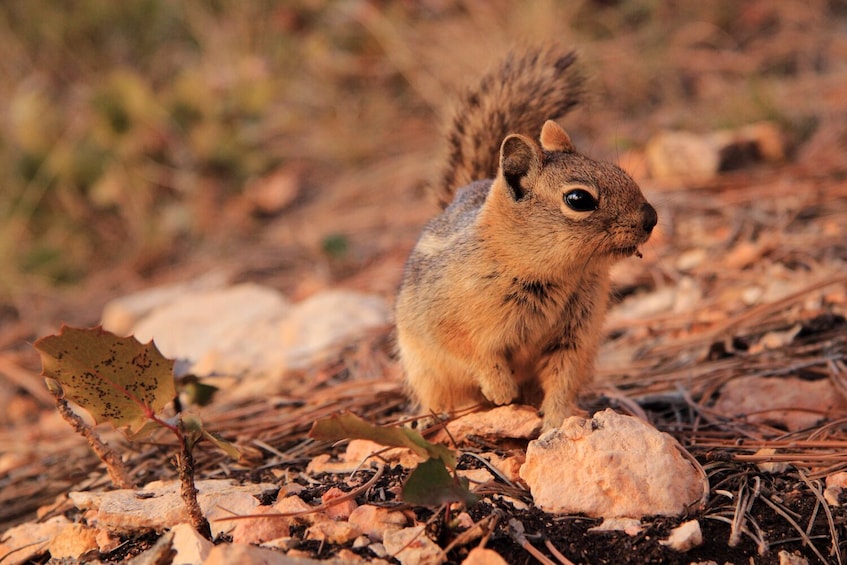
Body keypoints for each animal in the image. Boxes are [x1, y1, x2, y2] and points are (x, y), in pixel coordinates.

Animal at [394, 46, 660, 430]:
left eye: (621, 171)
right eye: (579, 199)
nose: (651, 218)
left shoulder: (574, 338)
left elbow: (563, 379)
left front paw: (558, 421)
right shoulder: (446, 320)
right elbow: (472, 353)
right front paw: (502, 390)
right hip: (423, 370)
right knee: (440, 397)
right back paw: (429, 419)